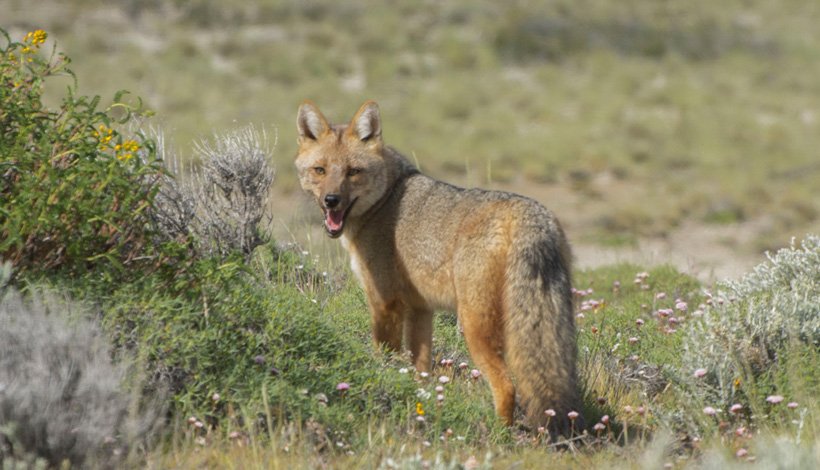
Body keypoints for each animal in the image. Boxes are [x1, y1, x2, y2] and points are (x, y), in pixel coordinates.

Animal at [294, 100, 583, 433]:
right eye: (320, 170)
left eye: (353, 172)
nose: (331, 200)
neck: (386, 198)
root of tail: (530, 216)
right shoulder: (421, 310)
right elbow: (420, 370)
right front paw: (420, 402)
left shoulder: (384, 303)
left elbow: (384, 356)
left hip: (475, 327)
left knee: (506, 386)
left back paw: (499, 432)